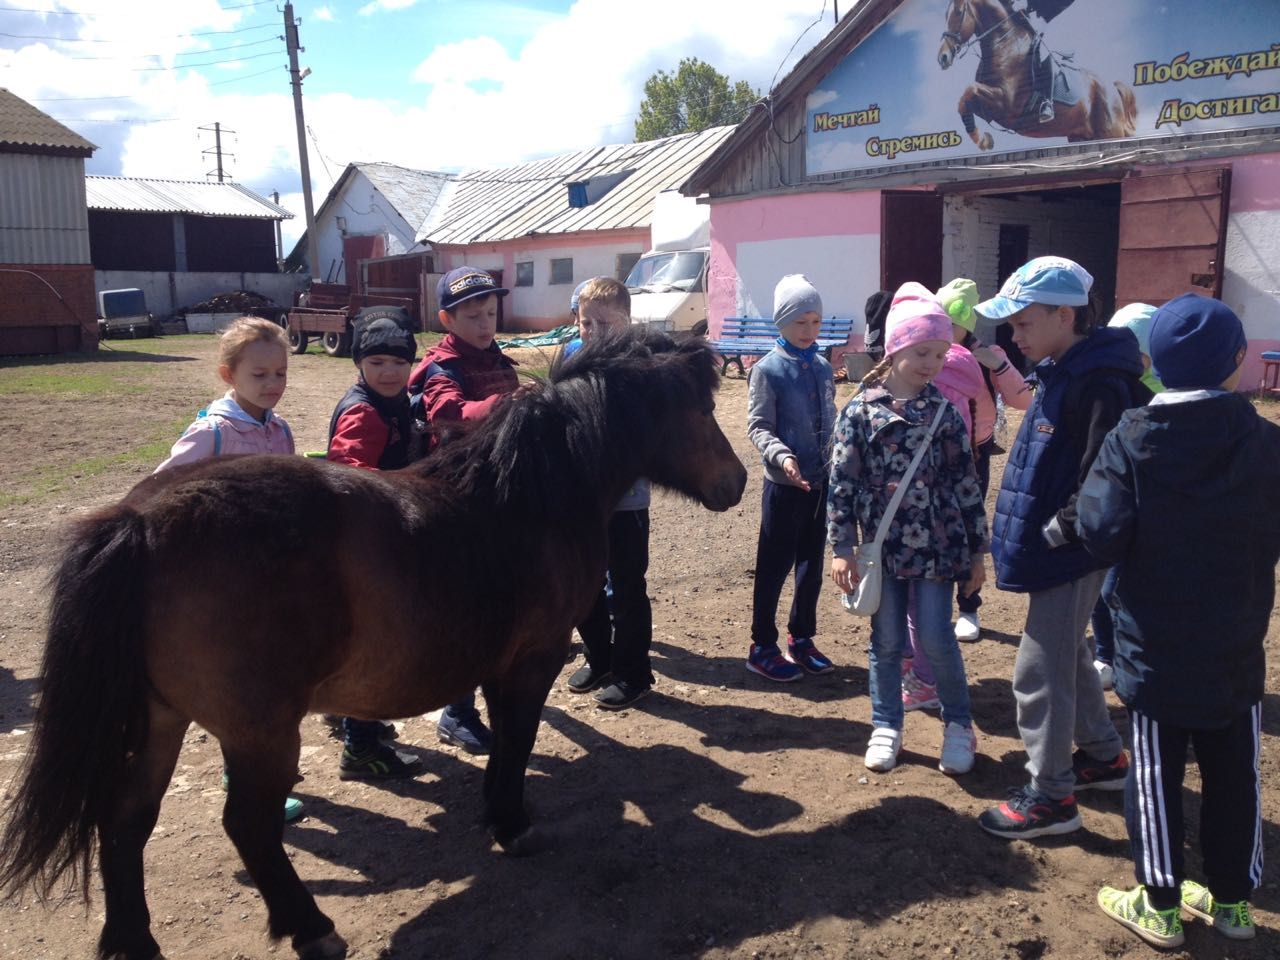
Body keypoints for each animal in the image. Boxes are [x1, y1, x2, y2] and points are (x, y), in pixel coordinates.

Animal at [0, 330, 747, 960]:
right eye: (703, 407)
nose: (737, 482)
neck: (523, 500)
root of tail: (143, 520)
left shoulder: (496, 664)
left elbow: (501, 742)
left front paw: (493, 812)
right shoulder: (531, 660)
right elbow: (518, 741)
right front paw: (512, 825)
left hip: (160, 719)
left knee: (126, 818)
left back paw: (135, 942)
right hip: (259, 732)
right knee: (248, 825)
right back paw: (311, 928)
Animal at [936, 0, 1136, 152]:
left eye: (958, 12)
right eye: (945, 15)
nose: (942, 57)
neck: (1005, 44)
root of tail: (1113, 89)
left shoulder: (1005, 104)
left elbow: (969, 92)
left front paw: (982, 140)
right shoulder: (988, 106)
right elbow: (963, 103)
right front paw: (983, 140)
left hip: (1109, 133)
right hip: (1081, 136)